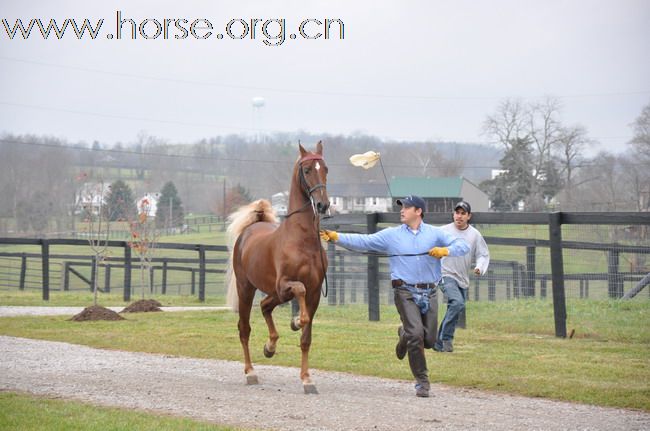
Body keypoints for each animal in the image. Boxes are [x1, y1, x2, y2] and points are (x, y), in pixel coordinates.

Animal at [227, 143, 330, 394]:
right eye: (307, 170)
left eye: (325, 169)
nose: (323, 204)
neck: (301, 240)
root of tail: (251, 228)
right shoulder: (285, 285)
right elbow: (300, 293)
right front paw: (296, 321)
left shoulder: (314, 293)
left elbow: (306, 338)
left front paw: (307, 380)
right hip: (247, 289)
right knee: (244, 328)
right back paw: (250, 373)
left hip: (272, 293)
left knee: (265, 306)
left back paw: (270, 347)